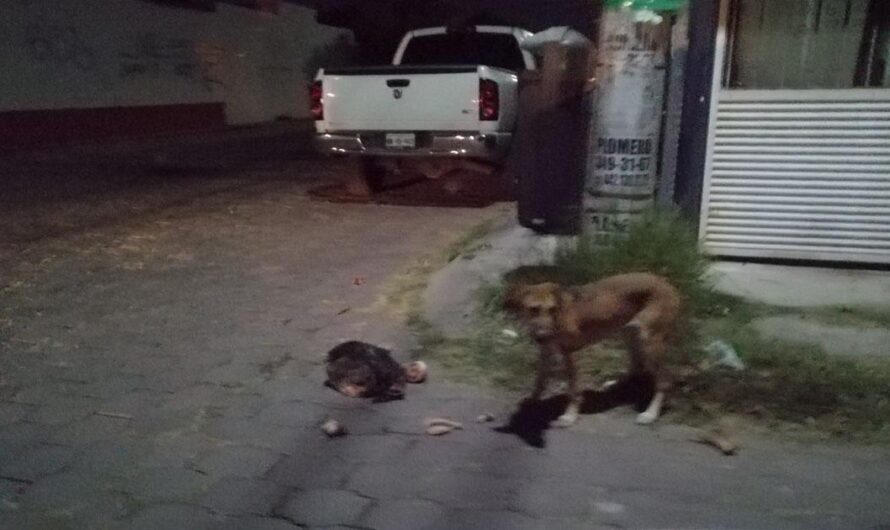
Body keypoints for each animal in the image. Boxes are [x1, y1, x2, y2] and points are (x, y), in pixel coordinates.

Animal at [506, 272, 680, 424]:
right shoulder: (546, 352)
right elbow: (539, 381)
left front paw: (570, 416)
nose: (543, 336)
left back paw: (651, 414)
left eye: (552, 309)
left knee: (664, 381)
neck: (558, 318)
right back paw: (616, 384)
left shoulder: (571, 354)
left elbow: (573, 391)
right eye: (533, 309)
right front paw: (532, 400)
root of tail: (665, 282)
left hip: (649, 343)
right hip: (629, 334)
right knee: (637, 364)